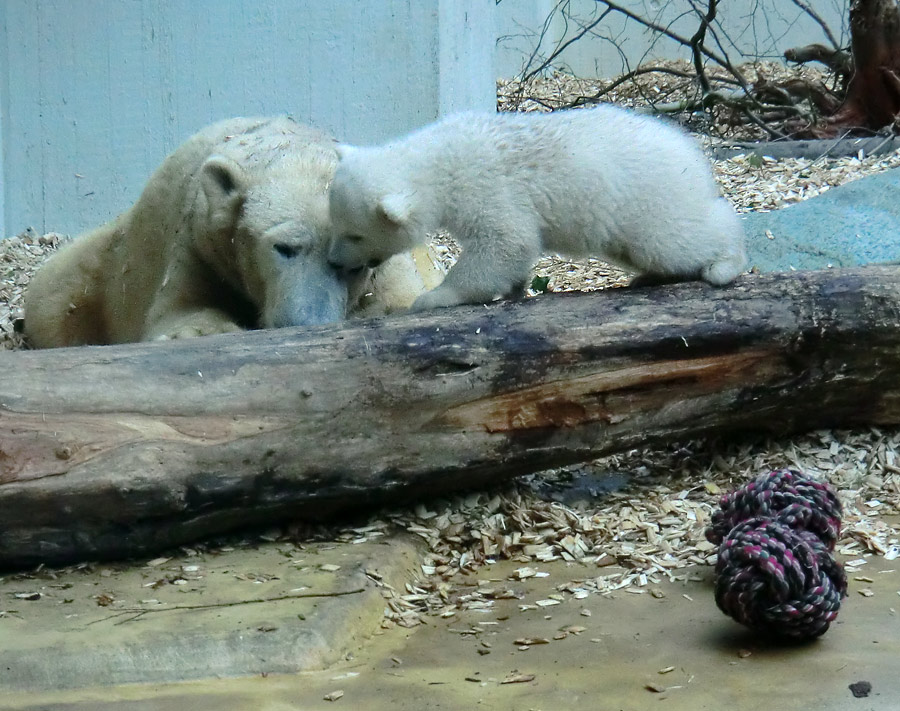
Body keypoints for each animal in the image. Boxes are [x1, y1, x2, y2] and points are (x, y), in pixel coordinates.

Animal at [23, 116, 440, 348]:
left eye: (357, 265)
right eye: (284, 247)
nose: (306, 323)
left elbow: (401, 302)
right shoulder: (200, 241)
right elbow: (177, 310)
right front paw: (200, 332)